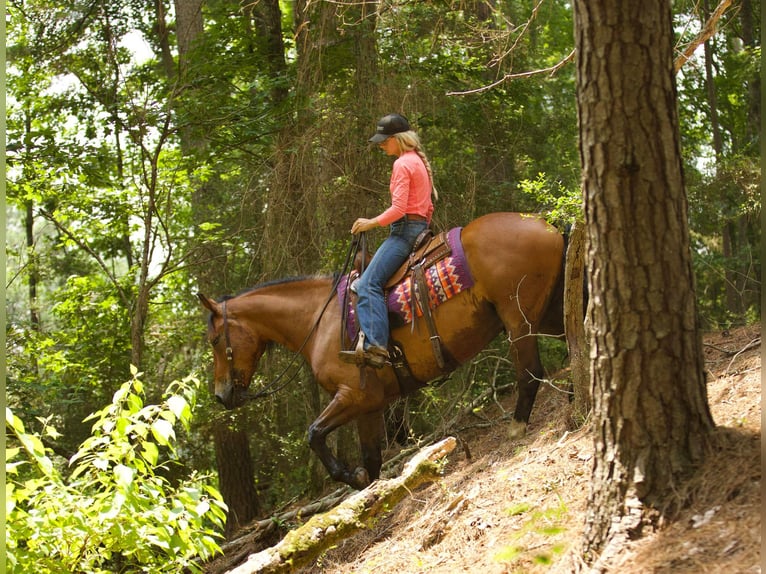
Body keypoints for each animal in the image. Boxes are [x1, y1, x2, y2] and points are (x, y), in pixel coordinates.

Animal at [198, 212, 568, 490]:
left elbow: (314, 434)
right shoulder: (370, 406)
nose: (221, 395)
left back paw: (518, 426)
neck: (320, 321)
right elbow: (372, 460)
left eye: (214, 341)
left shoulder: (354, 395)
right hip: (548, 312)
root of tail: (547, 226)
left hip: (519, 321)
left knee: (530, 373)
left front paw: (351, 477)